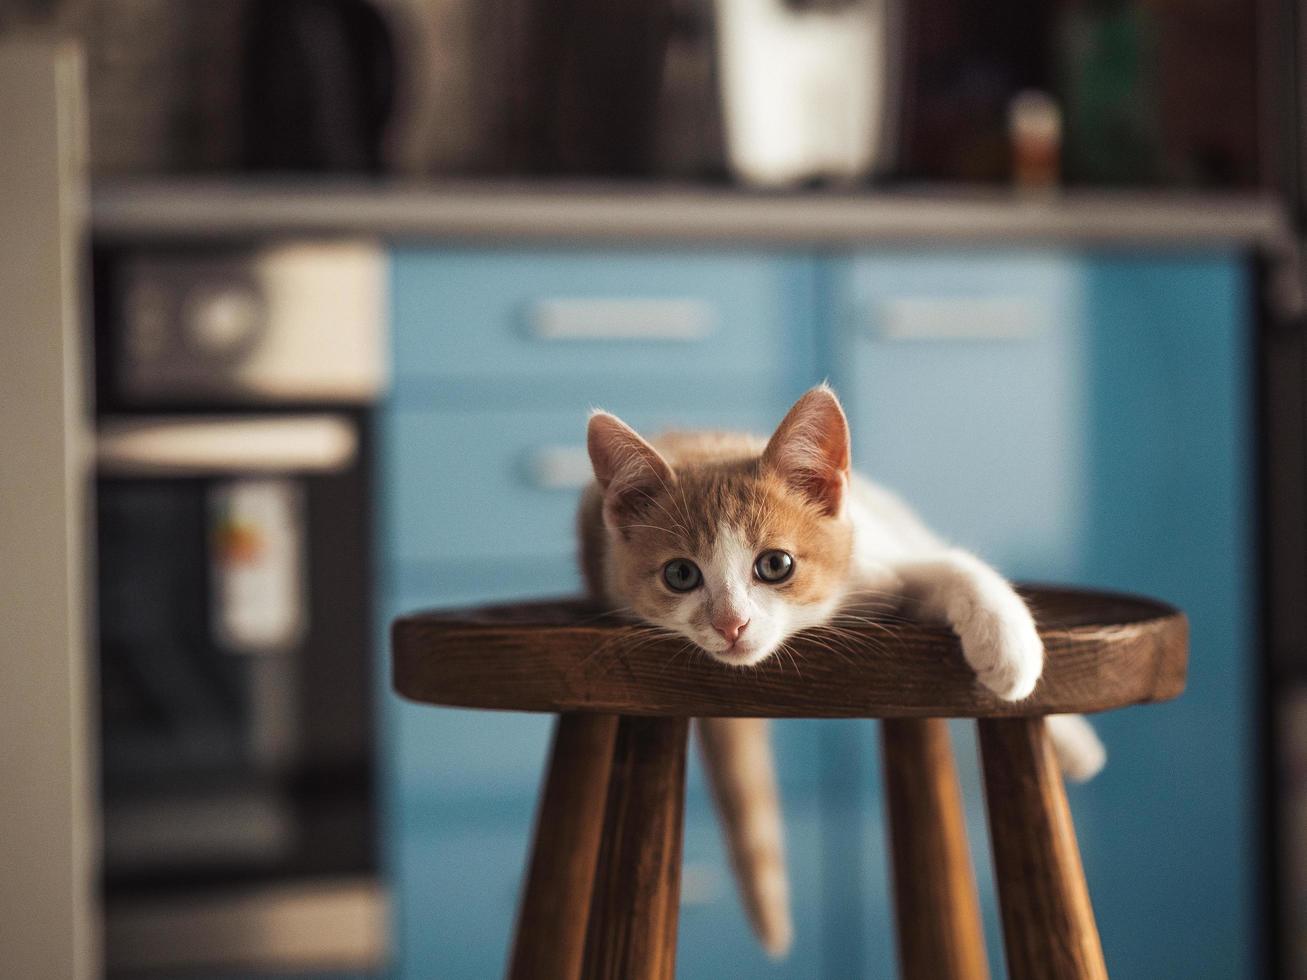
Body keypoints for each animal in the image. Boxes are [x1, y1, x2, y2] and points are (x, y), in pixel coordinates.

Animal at [580, 386, 1103, 961]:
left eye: (776, 565)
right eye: (680, 574)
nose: (731, 624)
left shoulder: (874, 549)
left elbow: (946, 564)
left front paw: (1006, 643)